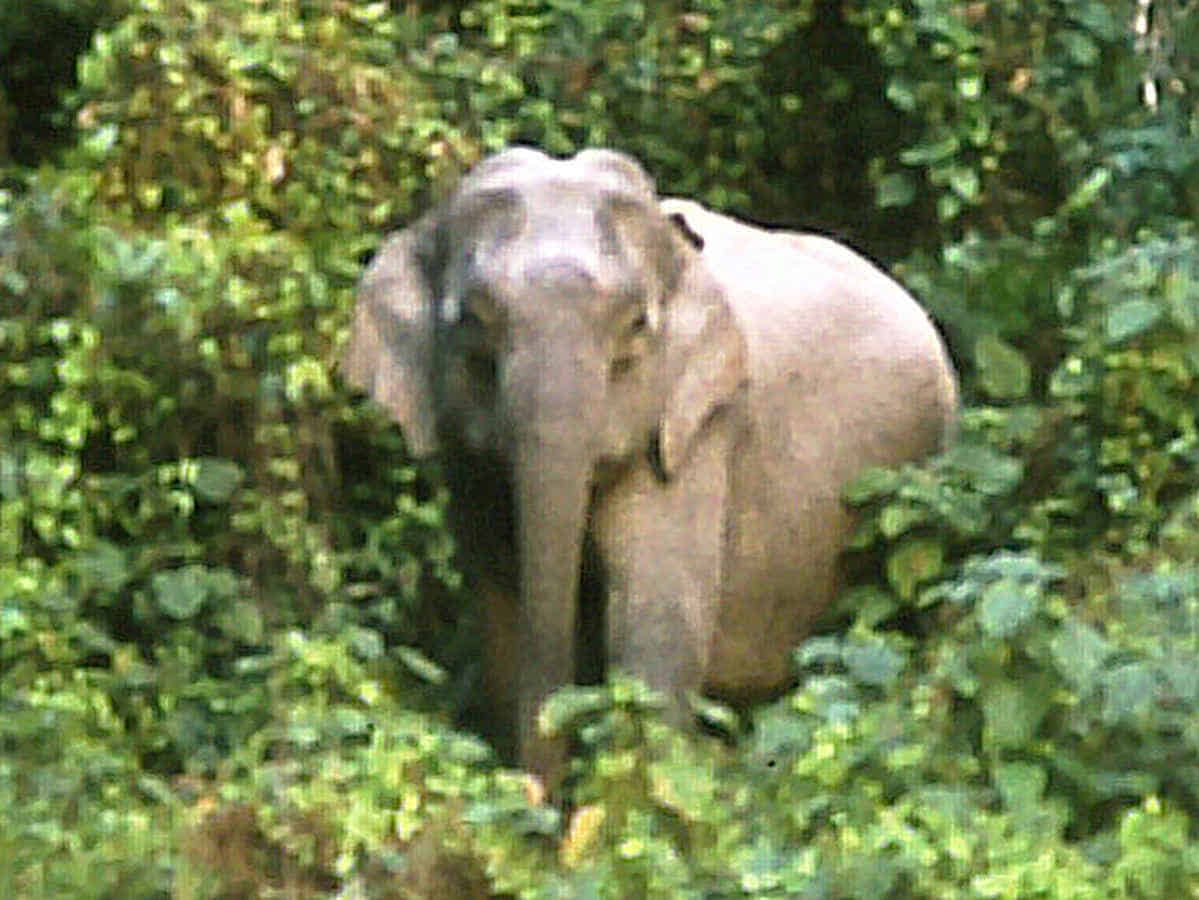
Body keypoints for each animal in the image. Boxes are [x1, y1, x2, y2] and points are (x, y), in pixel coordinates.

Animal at [343, 147, 958, 786]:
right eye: (473, 320)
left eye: (637, 325)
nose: (540, 794)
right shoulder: (468, 464)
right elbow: (501, 602)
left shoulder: (698, 429)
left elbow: (657, 616)